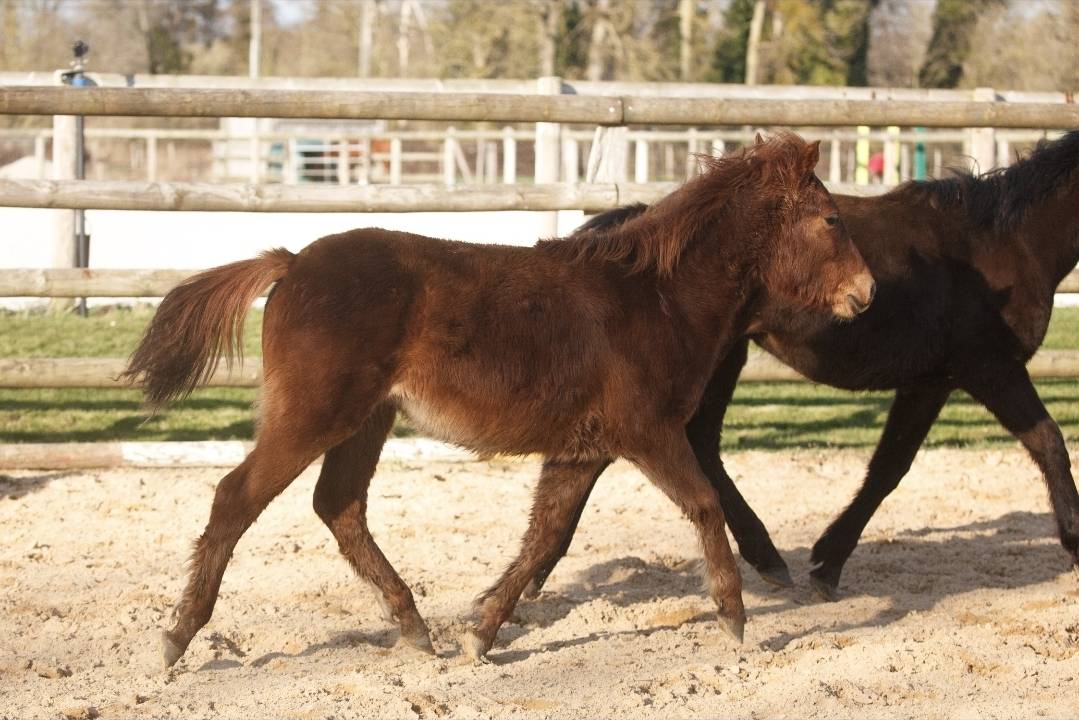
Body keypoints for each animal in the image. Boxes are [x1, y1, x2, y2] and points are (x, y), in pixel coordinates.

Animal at [123, 132, 874, 667]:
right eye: (831, 219)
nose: (865, 293)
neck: (655, 297)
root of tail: (293, 262)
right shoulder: (649, 433)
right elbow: (703, 504)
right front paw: (733, 619)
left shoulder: (585, 452)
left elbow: (545, 539)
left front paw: (480, 634)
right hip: (313, 415)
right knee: (237, 498)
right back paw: (177, 638)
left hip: (366, 421)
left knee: (339, 507)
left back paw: (416, 629)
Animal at [523, 130, 1079, 604]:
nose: (866, 292)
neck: (1009, 244)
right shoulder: (992, 368)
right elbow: (1049, 443)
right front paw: (1074, 541)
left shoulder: (929, 383)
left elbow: (888, 468)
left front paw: (828, 562)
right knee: (684, 442)